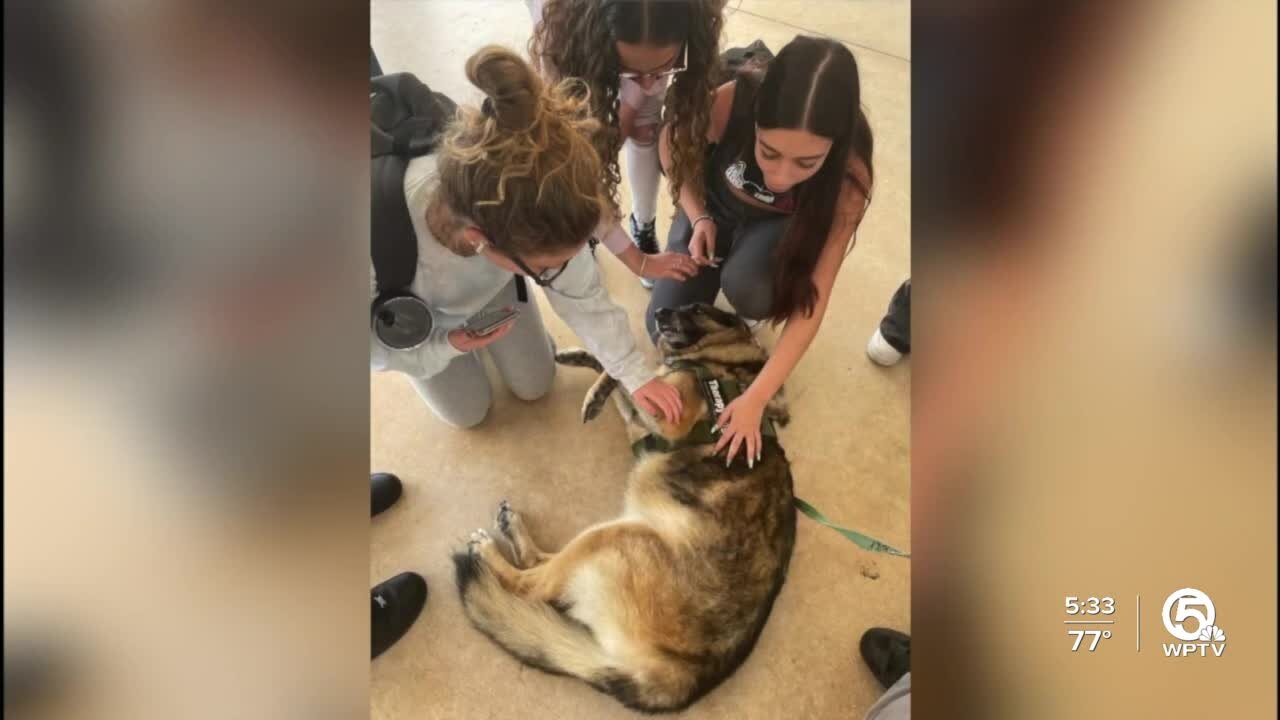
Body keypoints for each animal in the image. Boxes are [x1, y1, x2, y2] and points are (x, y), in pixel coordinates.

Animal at [448, 302, 788, 712]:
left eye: (696, 307)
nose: (660, 311)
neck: (722, 358)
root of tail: (678, 678)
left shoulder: (667, 417)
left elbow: (632, 374)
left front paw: (603, 382)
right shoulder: (643, 421)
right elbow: (629, 375)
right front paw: (588, 365)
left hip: (619, 534)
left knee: (532, 585)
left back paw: (487, 551)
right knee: (540, 565)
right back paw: (511, 526)